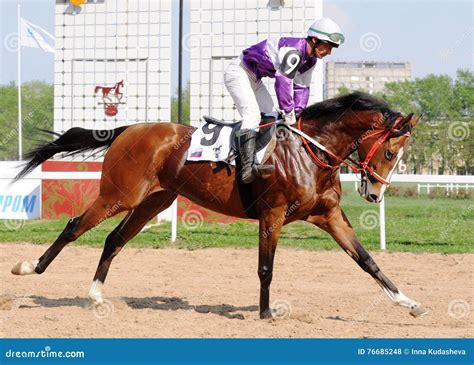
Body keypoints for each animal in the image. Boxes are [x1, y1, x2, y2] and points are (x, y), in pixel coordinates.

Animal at [11, 91, 428, 318]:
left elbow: (368, 261)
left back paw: (96, 294)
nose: (375, 194)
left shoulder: (329, 216)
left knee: (114, 239)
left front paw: (409, 303)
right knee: (74, 227)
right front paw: (265, 314)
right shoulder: (273, 214)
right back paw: (29, 267)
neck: (310, 152)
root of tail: (129, 129)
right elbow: (265, 268)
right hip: (118, 195)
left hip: (153, 201)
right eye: (390, 152)